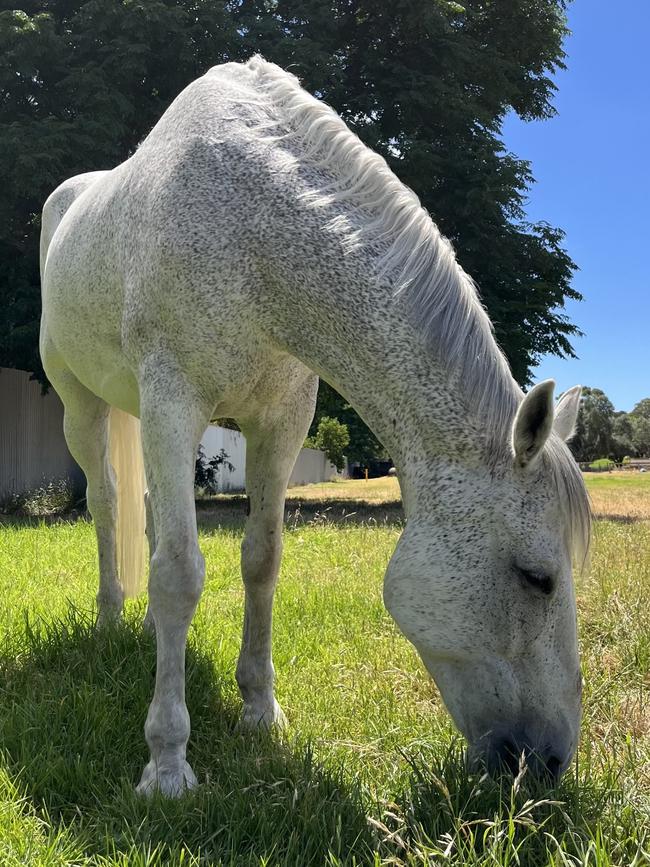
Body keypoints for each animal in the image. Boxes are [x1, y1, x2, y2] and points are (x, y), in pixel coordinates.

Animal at [39, 57, 588, 796]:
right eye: (537, 578)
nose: (549, 761)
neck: (253, 233)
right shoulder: (172, 401)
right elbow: (180, 572)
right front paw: (167, 763)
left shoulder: (280, 423)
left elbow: (260, 559)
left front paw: (259, 709)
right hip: (85, 406)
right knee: (106, 503)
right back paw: (108, 619)